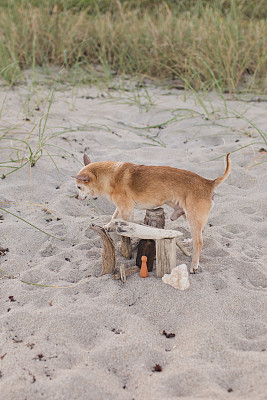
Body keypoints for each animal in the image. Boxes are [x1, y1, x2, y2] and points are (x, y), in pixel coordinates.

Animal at [72, 154, 231, 276]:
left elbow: (125, 231)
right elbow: (113, 217)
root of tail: (209, 183)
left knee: (199, 241)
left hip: (192, 217)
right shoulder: (121, 207)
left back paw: (194, 265)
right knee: (201, 232)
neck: (111, 176)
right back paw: (187, 242)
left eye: (79, 187)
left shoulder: (127, 210)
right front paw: (107, 226)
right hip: (190, 216)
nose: (76, 197)